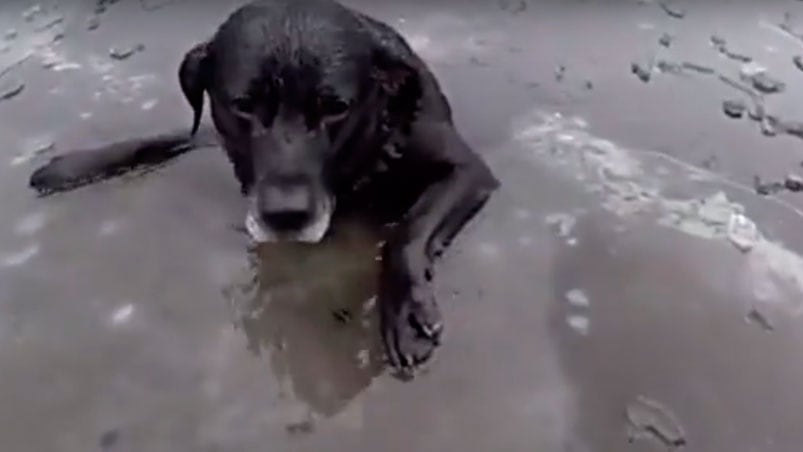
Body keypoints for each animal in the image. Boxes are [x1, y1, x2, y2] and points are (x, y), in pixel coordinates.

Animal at [28, 0, 500, 374]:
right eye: (243, 106)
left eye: (336, 108)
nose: (285, 216)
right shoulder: (220, 136)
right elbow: (167, 135)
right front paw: (74, 165)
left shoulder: (468, 170)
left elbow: (408, 233)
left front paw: (405, 311)